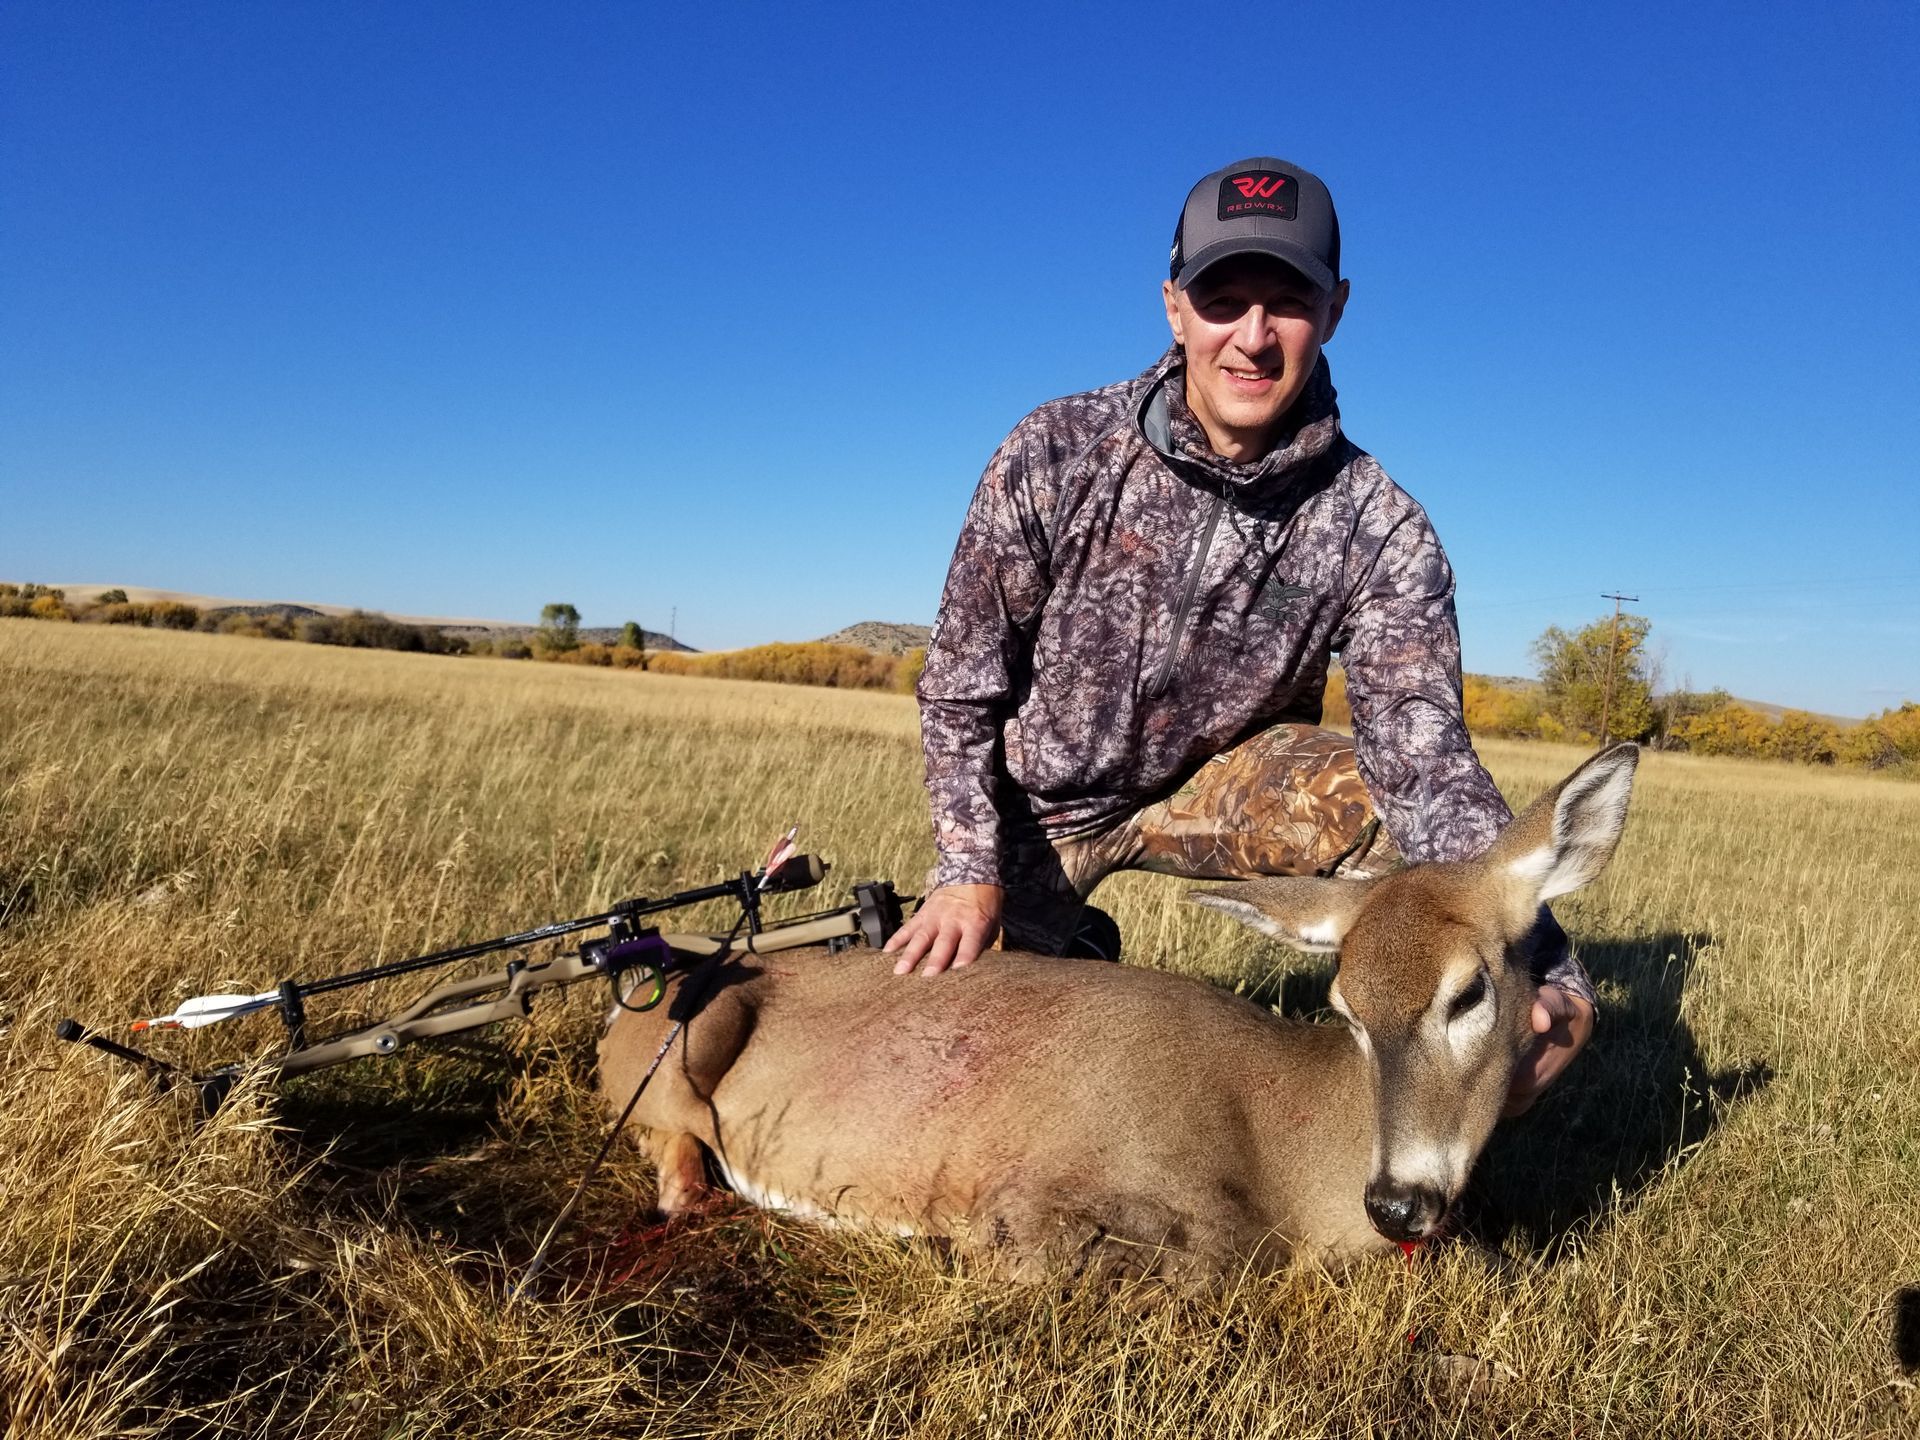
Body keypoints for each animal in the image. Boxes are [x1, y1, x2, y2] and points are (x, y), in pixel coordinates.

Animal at [597, 744, 1638, 1280]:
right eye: (1345, 1004)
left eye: (1470, 991)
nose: (1396, 1203)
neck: (1289, 1159)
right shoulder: (1040, 1207)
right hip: (679, 1040)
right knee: (673, 1139)